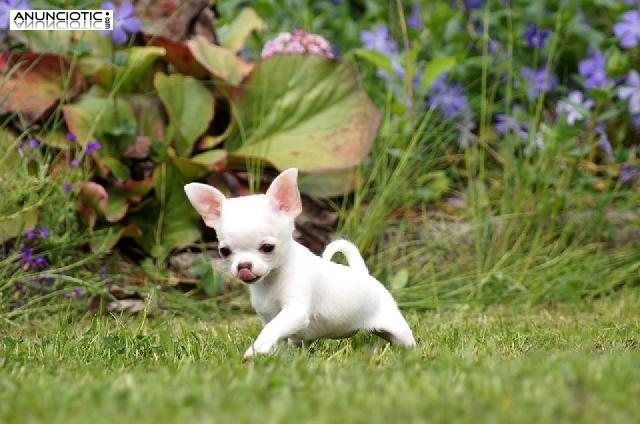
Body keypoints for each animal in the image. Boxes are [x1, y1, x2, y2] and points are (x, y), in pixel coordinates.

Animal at [184, 169, 416, 358]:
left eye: (267, 248)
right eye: (224, 251)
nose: (243, 266)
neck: (272, 281)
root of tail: (362, 273)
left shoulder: (295, 311)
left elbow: (271, 330)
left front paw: (255, 350)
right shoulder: (269, 316)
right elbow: (274, 331)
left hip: (397, 328)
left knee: (406, 340)